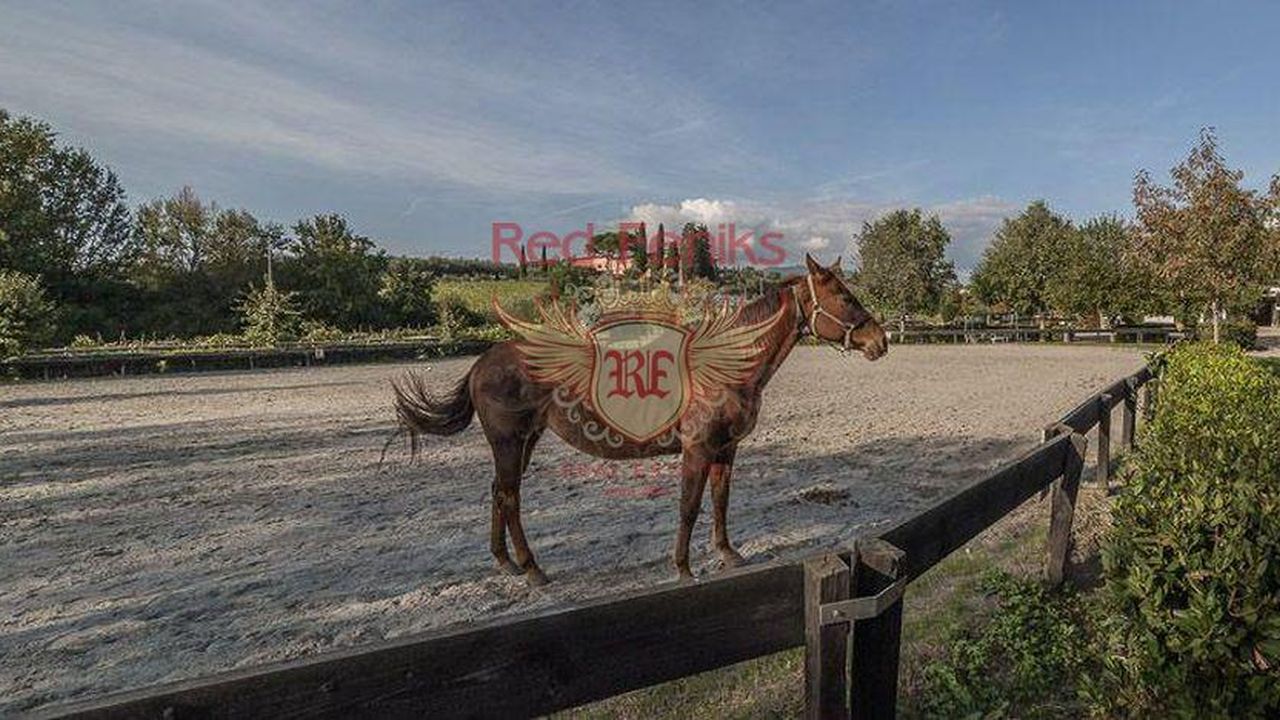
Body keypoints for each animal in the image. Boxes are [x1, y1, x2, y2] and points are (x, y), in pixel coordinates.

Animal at [392, 254, 888, 585]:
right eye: (844, 296)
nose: (880, 341)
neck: (724, 368)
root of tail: (483, 361)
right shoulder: (697, 449)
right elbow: (689, 506)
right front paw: (683, 568)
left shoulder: (726, 449)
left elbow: (721, 501)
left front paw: (728, 554)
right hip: (510, 441)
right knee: (510, 498)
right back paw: (533, 570)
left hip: (525, 440)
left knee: (499, 491)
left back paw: (507, 562)